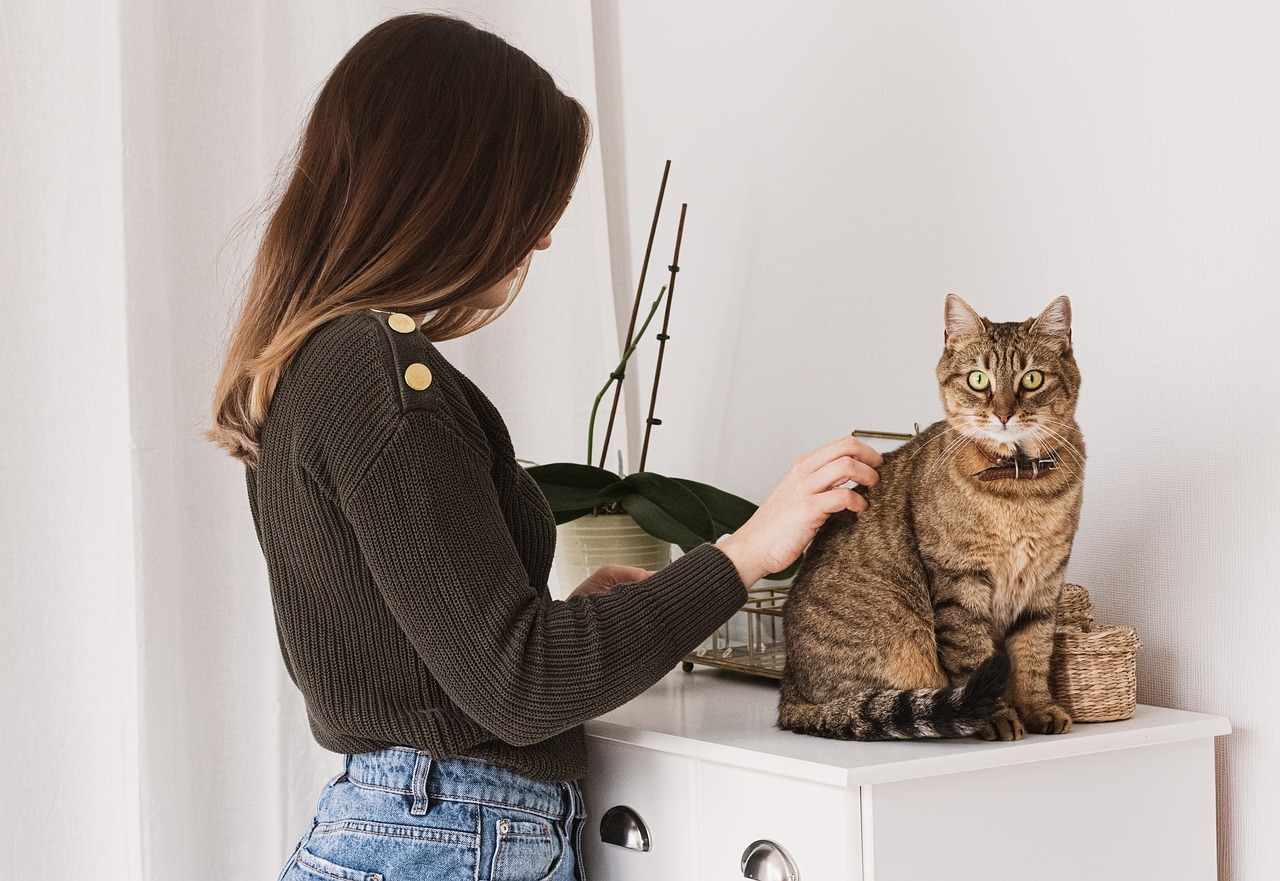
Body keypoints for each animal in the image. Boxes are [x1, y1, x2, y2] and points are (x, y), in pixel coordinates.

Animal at [773, 297, 1085, 742]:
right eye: (978, 379)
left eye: (1032, 379)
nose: (1003, 414)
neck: (1019, 491)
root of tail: (788, 692)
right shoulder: (959, 581)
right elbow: (973, 657)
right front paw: (996, 717)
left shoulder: (1045, 583)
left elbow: (1033, 655)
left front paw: (1038, 710)